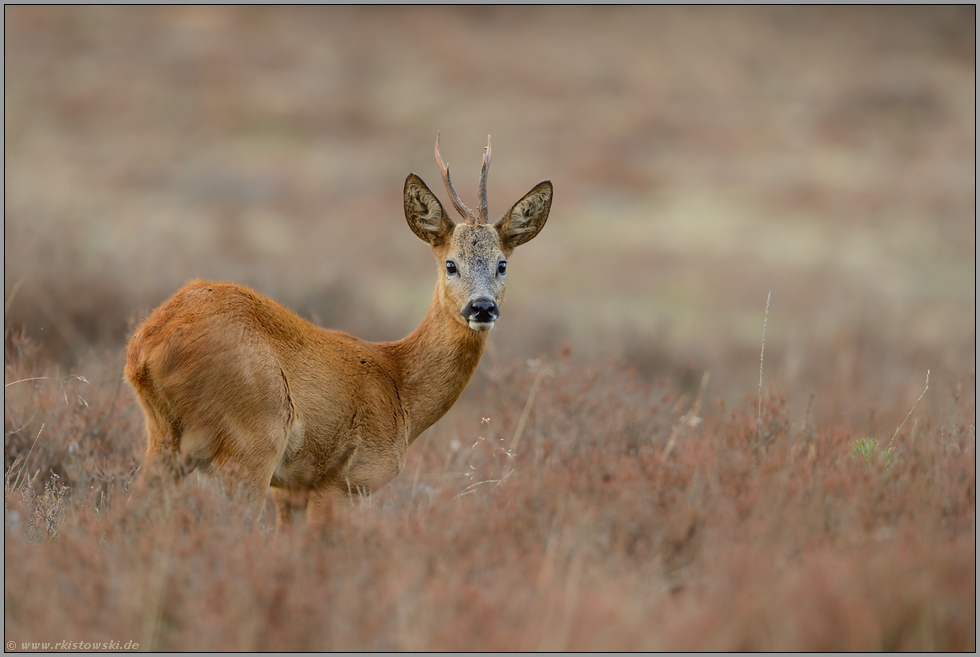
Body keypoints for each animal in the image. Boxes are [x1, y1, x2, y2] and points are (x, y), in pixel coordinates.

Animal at [124, 135, 552, 528]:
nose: (482, 307)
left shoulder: (293, 489)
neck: (401, 389)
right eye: (451, 264)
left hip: (164, 441)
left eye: (501, 264)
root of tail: (144, 350)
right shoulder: (347, 480)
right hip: (252, 440)